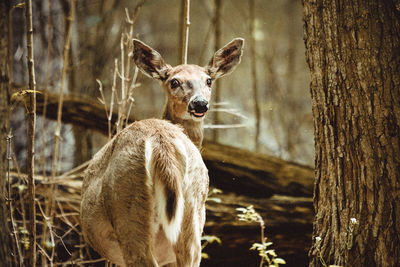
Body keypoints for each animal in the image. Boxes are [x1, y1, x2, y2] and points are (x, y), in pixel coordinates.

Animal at [79, 37, 244, 267]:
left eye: (209, 80)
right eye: (174, 82)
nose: (199, 103)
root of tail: (160, 141)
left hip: (129, 207)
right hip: (191, 213)